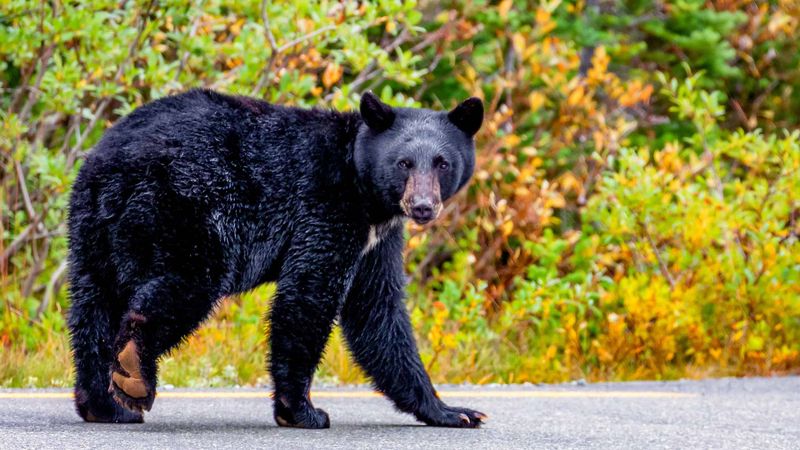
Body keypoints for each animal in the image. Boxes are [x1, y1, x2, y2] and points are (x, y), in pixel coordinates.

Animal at [65, 89, 484, 428]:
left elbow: (377, 312)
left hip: (90, 229)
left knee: (92, 310)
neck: (362, 187)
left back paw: (105, 405)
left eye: (442, 163)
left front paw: (451, 411)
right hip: (185, 209)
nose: (423, 206)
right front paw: (301, 411)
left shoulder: (376, 241)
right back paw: (134, 372)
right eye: (404, 163)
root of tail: (113, 163)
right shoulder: (326, 210)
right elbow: (308, 296)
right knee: (184, 285)